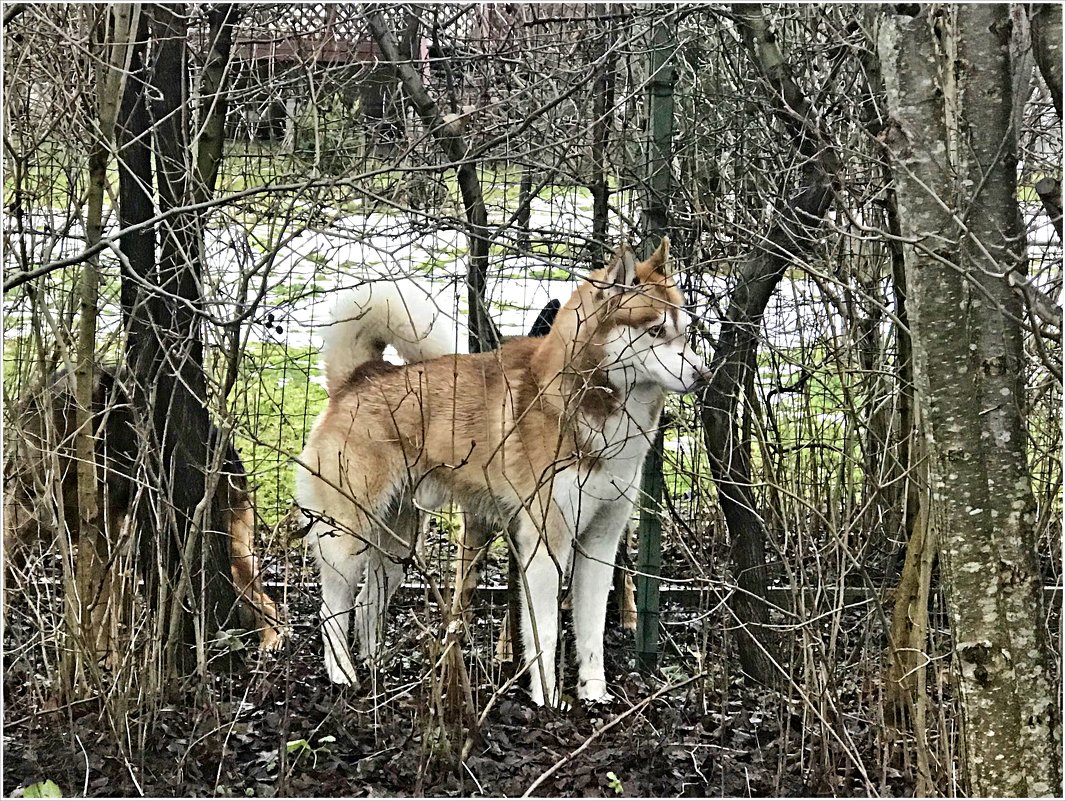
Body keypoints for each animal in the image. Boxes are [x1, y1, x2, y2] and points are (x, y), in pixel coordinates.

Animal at [296, 236, 707, 699]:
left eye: (684, 331)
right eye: (655, 330)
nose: (703, 374)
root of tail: (361, 377)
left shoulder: (601, 542)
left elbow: (591, 632)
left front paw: (594, 694)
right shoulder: (545, 543)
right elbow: (545, 632)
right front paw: (548, 699)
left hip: (398, 543)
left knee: (369, 602)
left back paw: (377, 667)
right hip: (347, 538)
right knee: (332, 609)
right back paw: (343, 675)